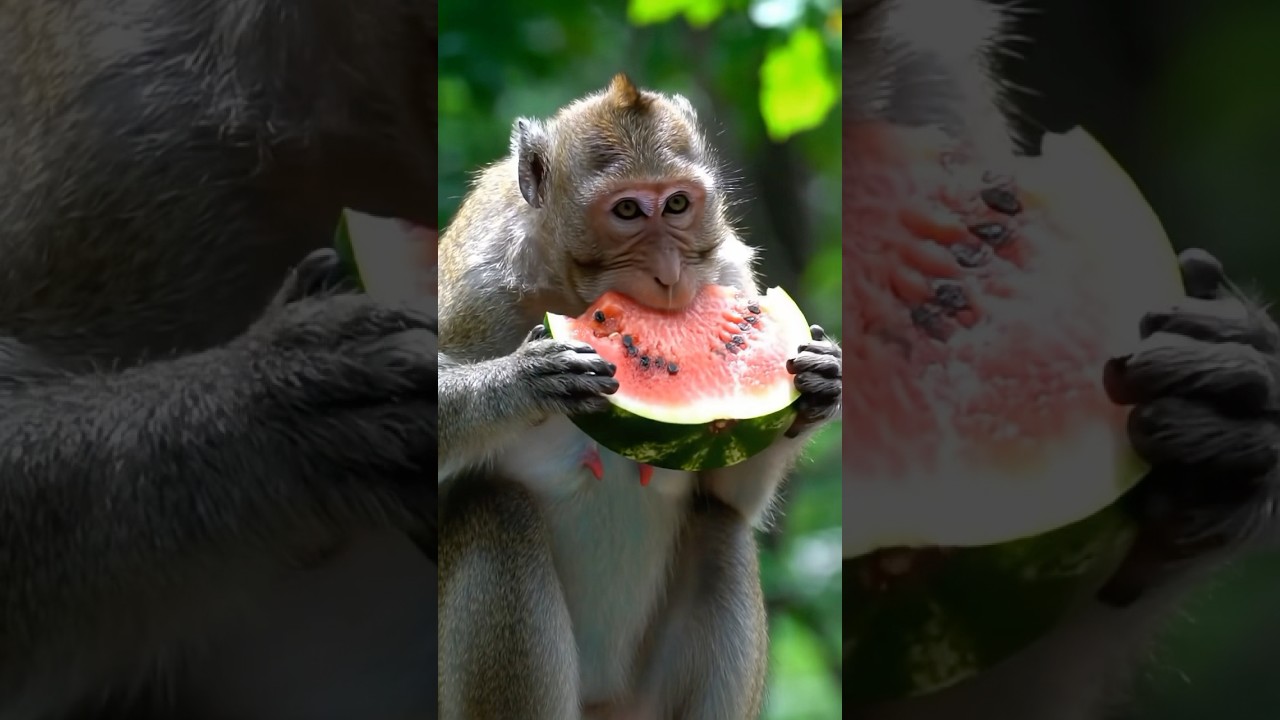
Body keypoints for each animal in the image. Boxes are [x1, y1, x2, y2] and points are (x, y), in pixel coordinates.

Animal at [436, 74, 843, 720]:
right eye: (627, 210)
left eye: (677, 204)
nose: (670, 272)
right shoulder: (475, 291)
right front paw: (522, 381)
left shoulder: (729, 270)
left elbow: (728, 496)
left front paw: (819, 388)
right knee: (495, 510)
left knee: (720, 530)